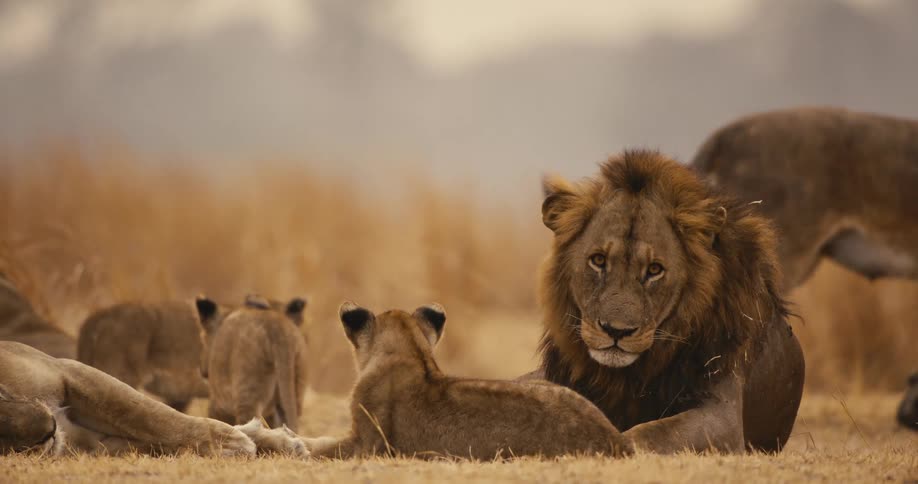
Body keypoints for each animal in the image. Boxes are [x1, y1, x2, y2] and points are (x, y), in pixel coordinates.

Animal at [0, 341, 307, 456]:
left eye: (0, 395)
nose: (49, 429)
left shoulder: (67, 370)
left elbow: (152, 416)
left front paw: (231, 441)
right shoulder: (95, 444)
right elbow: (159, 438)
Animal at [196, 294, 308, 433]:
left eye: (202, 340)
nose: (201, 370)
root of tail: (277, 328)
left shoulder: (218, 403)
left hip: (247, 393)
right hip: (295, 390)